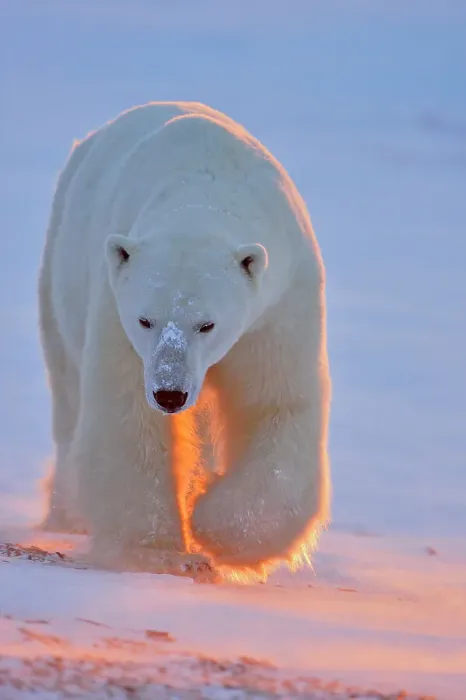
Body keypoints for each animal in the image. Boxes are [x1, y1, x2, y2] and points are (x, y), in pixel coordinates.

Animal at [38, 101, 331, 575]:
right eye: (145, 320)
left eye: (207, 324)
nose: (170, 394)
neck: (198, 194)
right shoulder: (116, 313)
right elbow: (128, 417)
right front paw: (159, 550)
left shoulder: (279, 308)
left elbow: (275, 404)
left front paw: (217, 526)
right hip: (61, 271)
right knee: (68, 394)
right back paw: (69, 515)